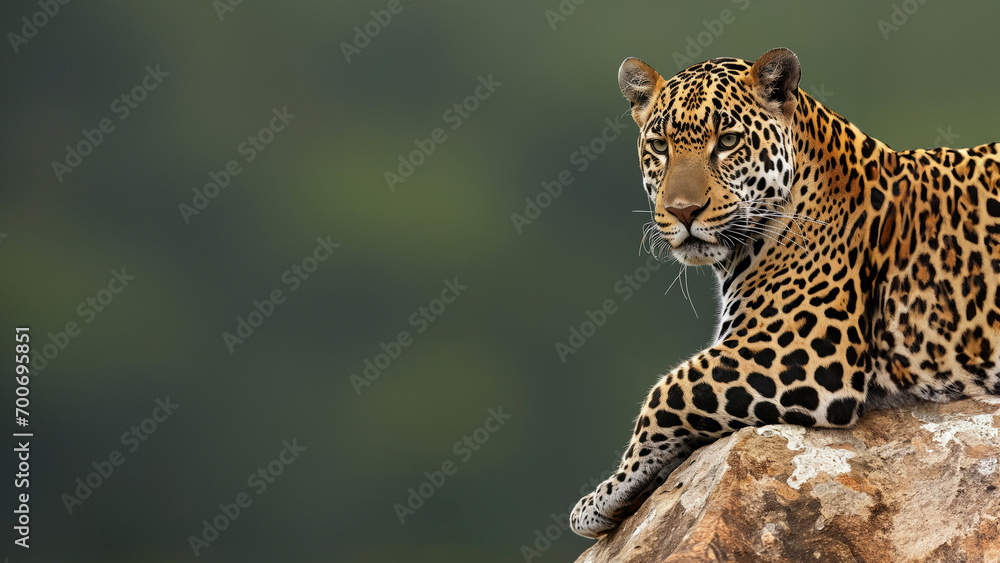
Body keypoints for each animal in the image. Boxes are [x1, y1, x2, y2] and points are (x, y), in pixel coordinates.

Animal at [570, 47, 1000, 539]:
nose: (683, 211)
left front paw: (603, 496)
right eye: (660, 146)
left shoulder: (802, 351)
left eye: (728, 141)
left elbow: (670, 388)